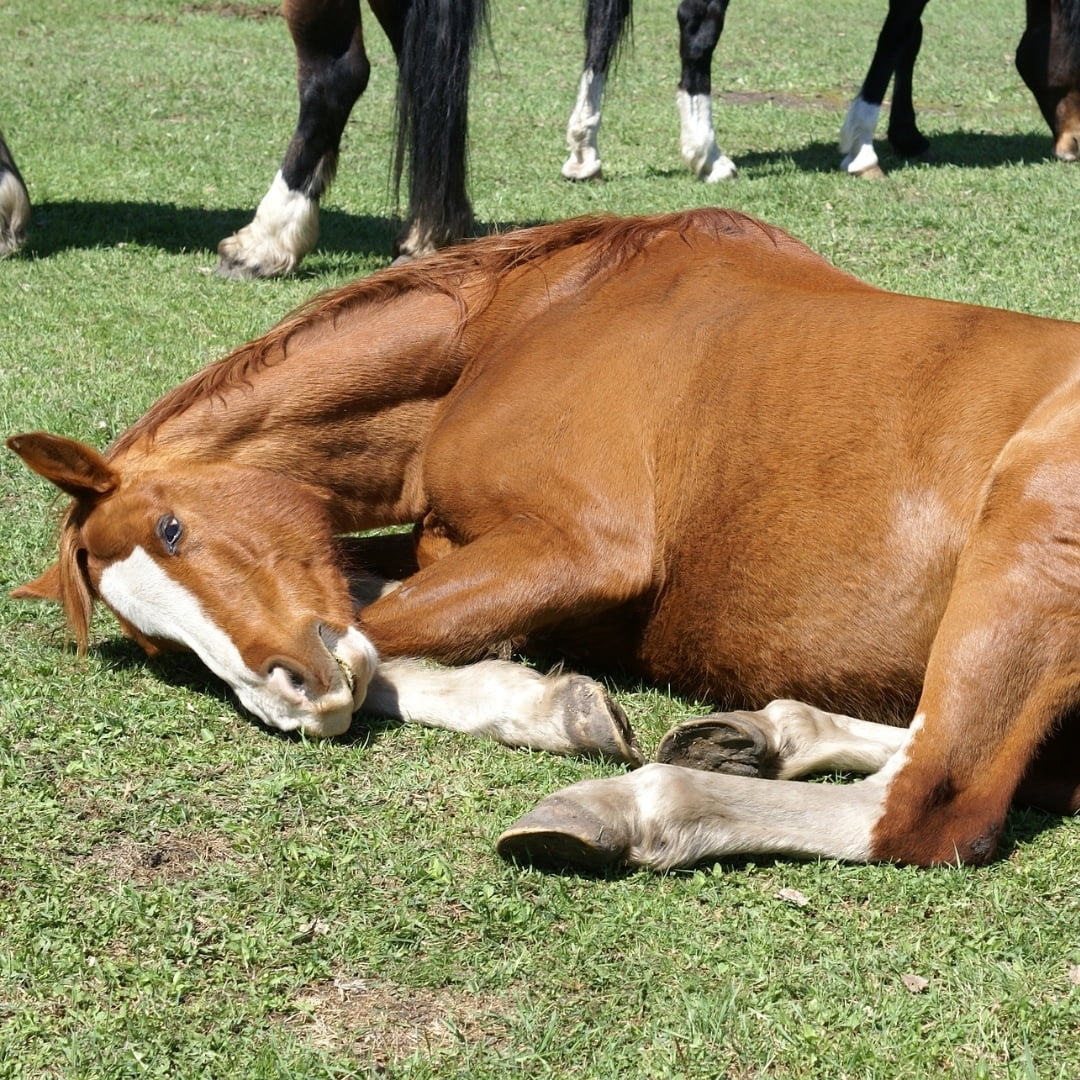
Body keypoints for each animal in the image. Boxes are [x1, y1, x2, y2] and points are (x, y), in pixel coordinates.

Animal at [10, 206, 1080, 872]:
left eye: (174, 527)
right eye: (157, 645)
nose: (295, 702)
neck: (530, 319)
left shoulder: (581, 551)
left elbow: (385, 636)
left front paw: (546, 708)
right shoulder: (438, 548)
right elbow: (375, 617)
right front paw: (547, 703)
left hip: (1023, 539)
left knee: (932, 805)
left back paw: (632, 809)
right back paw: (763, 734)